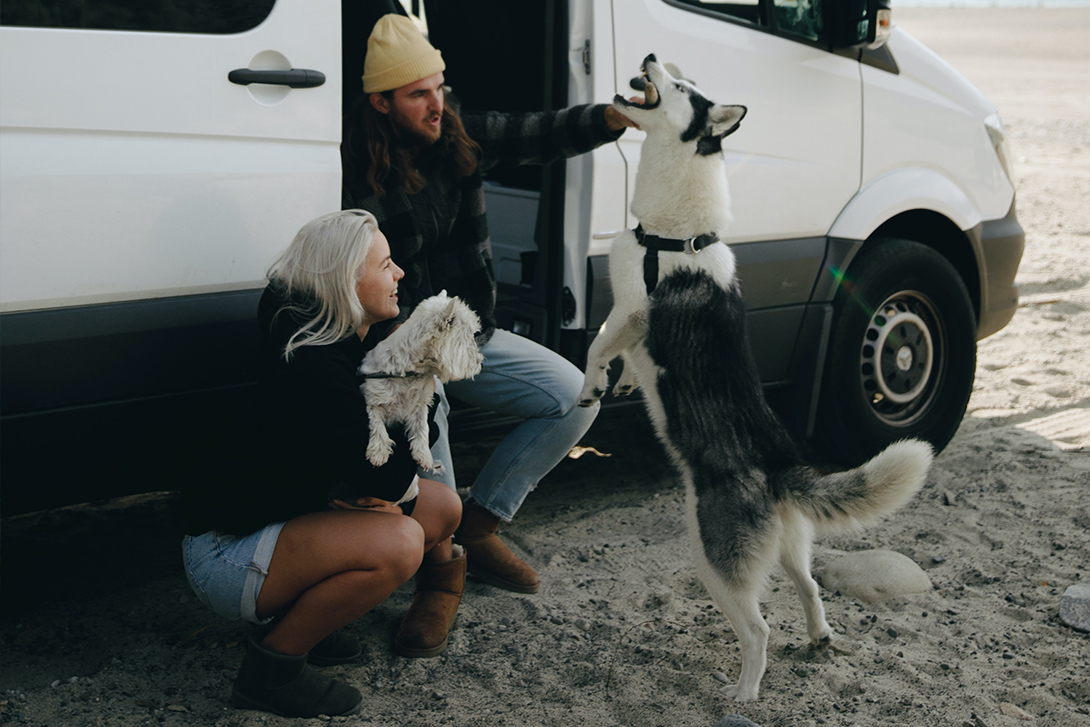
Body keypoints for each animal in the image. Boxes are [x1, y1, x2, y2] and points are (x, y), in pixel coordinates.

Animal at [359, 289, 483, 473]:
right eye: (468, 336)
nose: (480, 363)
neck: (410, 371)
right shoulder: (373, 397)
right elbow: (376, 424)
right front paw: (378, 453)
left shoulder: (419, 405)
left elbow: (423, 427)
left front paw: (424, 455)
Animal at [579, 53, 928, 701]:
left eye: (681, 86)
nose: (649, 56)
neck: (673, 231)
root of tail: (781, 464)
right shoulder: (631, 321)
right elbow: (624, 356)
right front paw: (628, 383)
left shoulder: (631, 311)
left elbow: (597, 346)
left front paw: (594, 385)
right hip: (790, 548)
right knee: (811, 587)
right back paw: (818, 639)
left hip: (713, 560)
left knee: (759, 628)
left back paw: (743, 692)